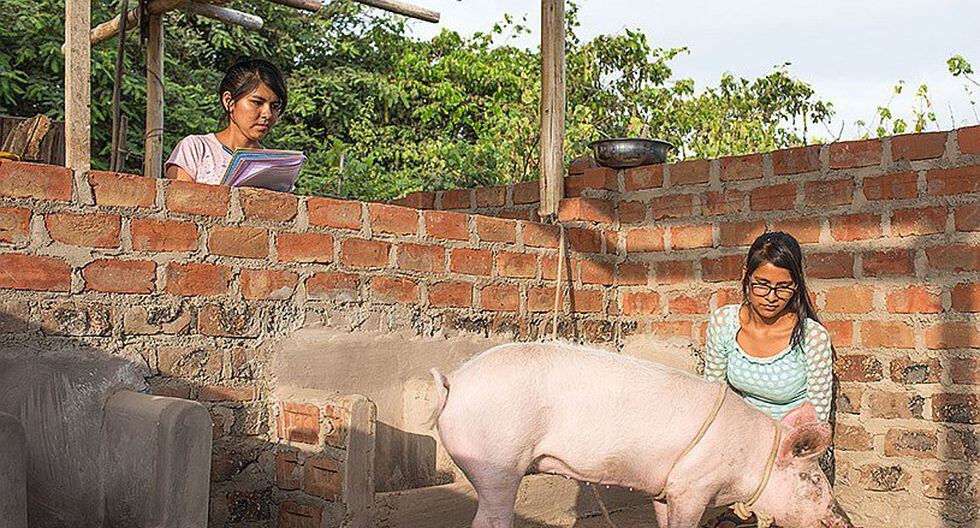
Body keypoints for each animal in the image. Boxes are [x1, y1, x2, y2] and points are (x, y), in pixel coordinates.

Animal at [429, 341, 853, 528]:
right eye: (813, 480)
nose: (844, 522)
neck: (749, 458)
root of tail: (455, 380)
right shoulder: (693, 485)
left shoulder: (665, 489)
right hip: (497, 460)